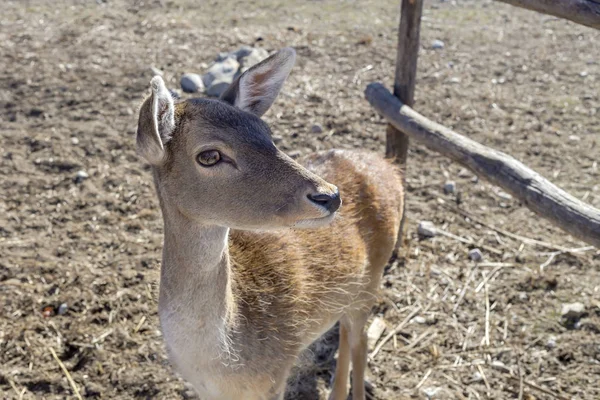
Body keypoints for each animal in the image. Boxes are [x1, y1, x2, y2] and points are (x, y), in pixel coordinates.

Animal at [137, 47, 404, 400]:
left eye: (268, 135)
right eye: (209, 156)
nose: (330, 195)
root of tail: (389, 166)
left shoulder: (275, 376)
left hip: (372, 278)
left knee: (360, 339)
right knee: (346, 331)